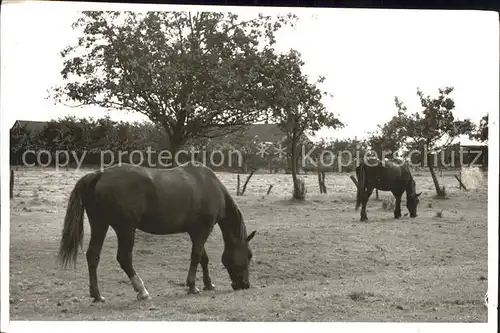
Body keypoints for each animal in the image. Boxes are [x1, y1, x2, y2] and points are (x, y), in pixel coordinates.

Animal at [56, 161, 256, 300]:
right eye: (249, 255)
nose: (245, 284)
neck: (210, 186)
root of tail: (99, 175)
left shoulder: (195, 232)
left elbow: (203, 258)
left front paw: (208, 284)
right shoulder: (203, 230)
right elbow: (196, 257)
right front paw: (192, 286)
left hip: (100, 225)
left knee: (93, 256)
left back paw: (97, 295)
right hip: (125, 229)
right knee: (124, 258)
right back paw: (142, 291)